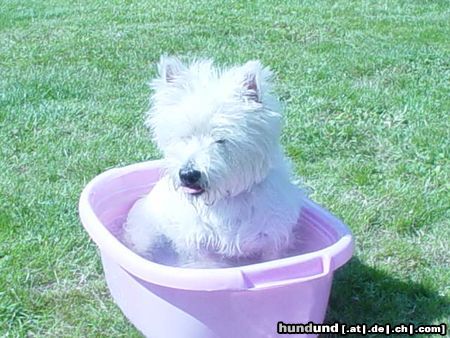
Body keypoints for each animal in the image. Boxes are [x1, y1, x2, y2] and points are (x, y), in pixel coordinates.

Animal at [125, 56, 304, 266]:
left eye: (220, 139)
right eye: (184, 137)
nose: (188, 174)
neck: (225, 200)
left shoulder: (273, 241)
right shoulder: (199, 247)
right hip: (146, 234)